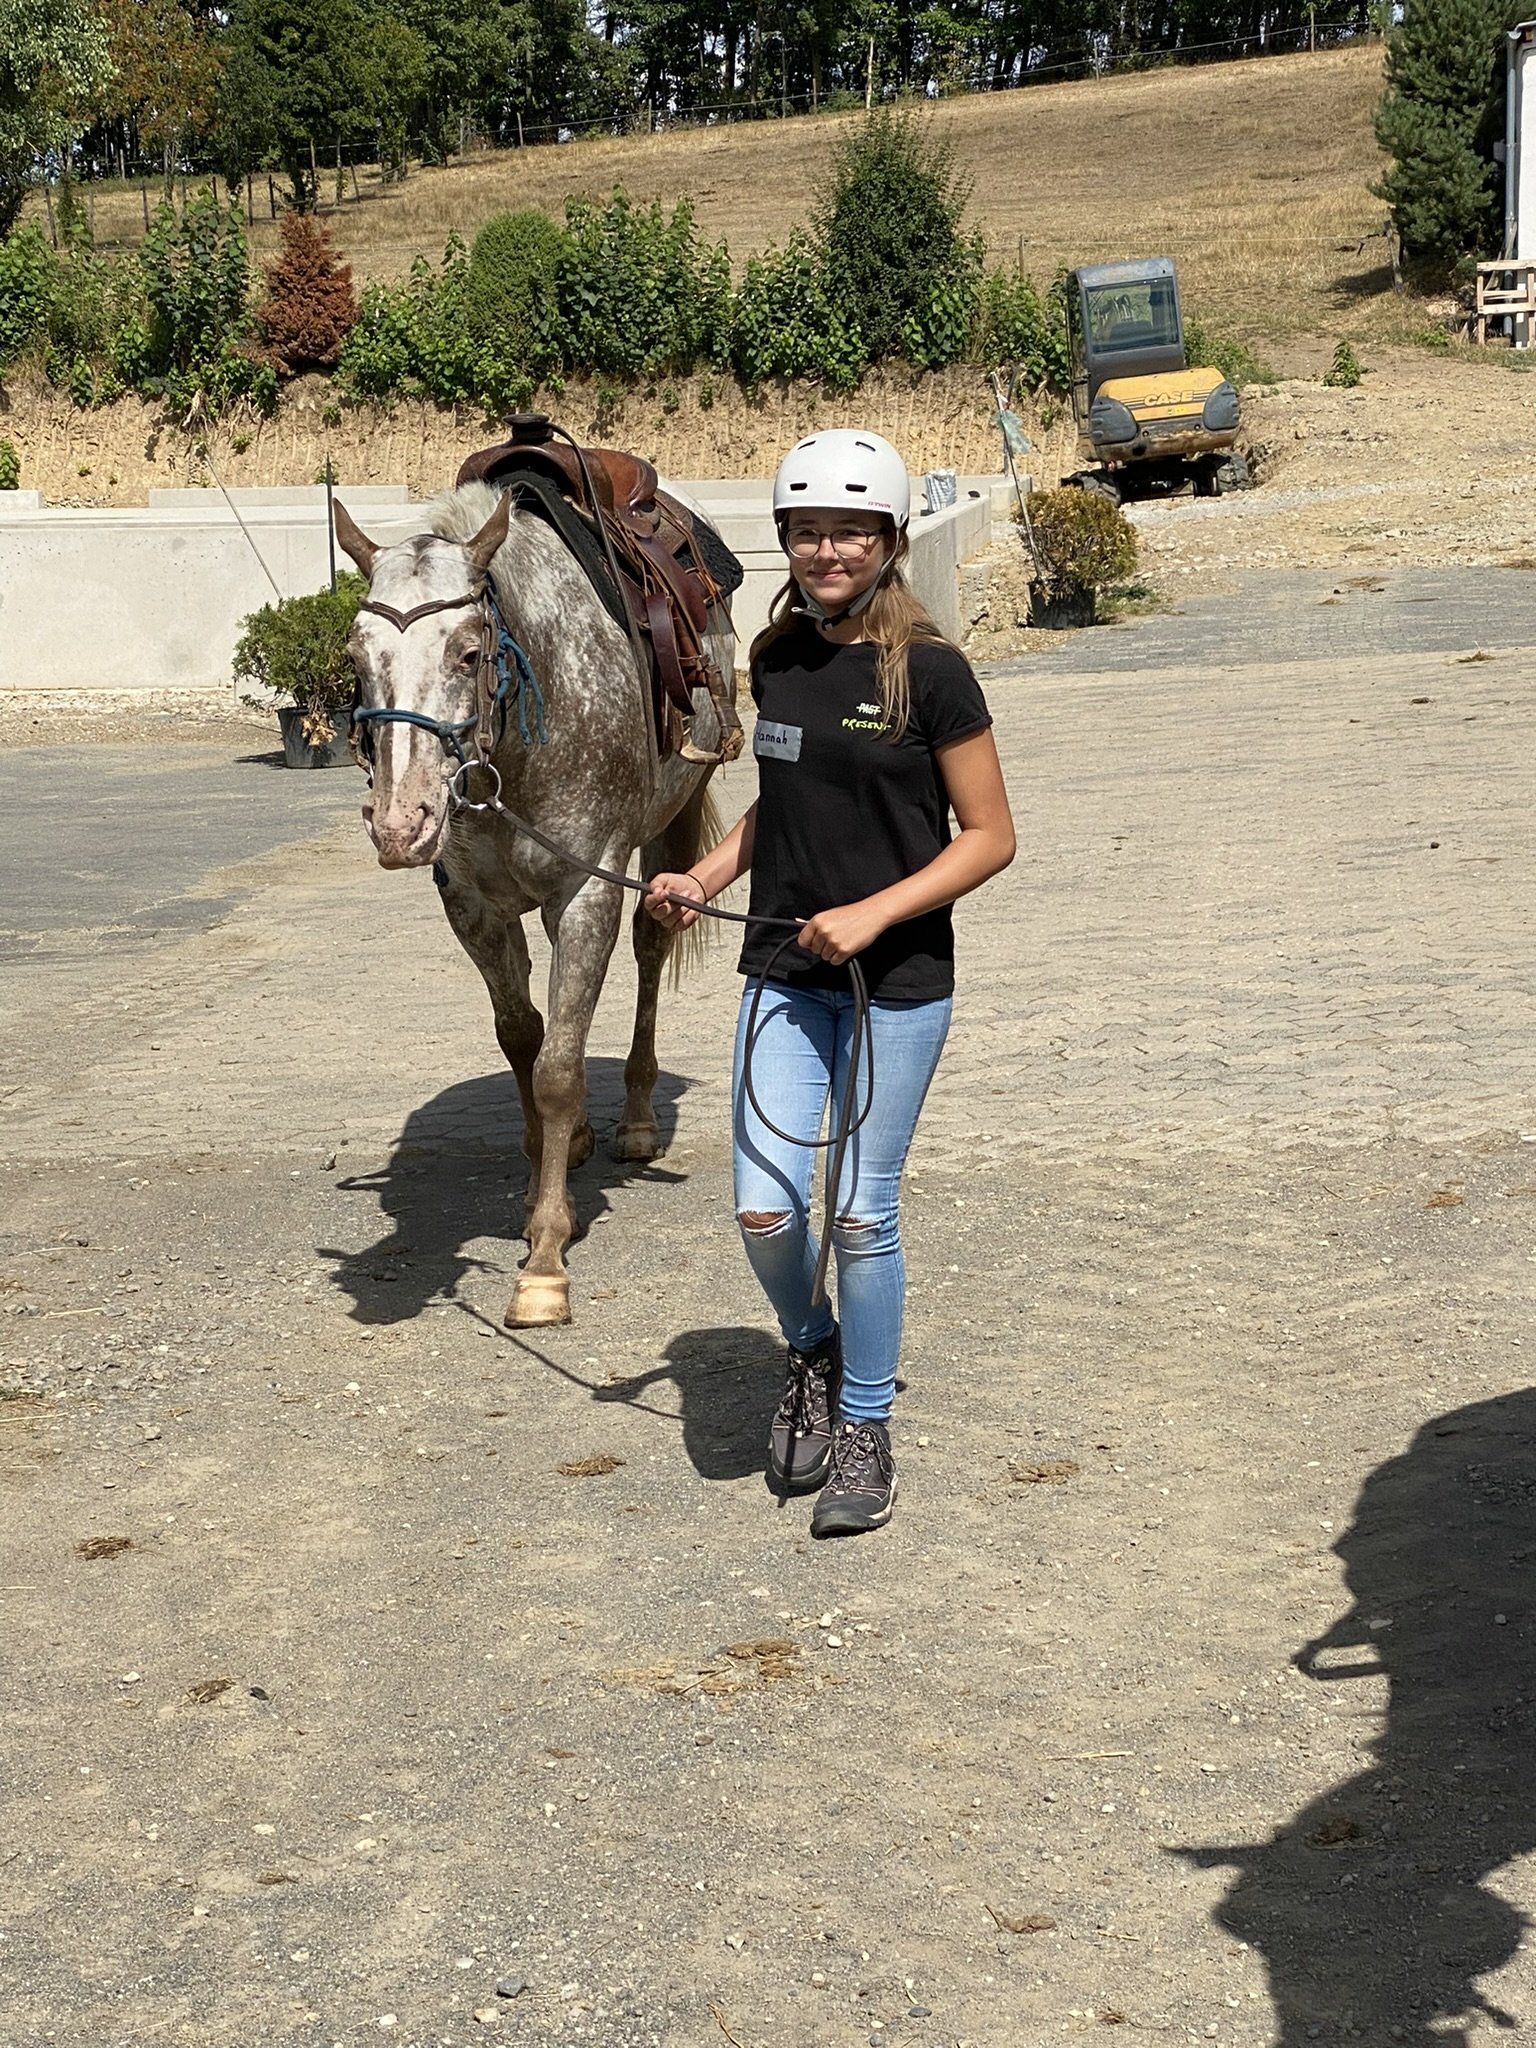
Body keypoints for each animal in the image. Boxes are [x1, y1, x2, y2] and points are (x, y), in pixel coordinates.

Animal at [333, 480, 735, 1328]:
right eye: (357, 657)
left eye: (468, 651)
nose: (400, 823)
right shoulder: (472, 904)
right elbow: (523, 1037)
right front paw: (535, 1188)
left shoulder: (587, 892)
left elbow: (556, 1069)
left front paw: (546, 1256)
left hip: (676, 818)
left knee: (652, 943)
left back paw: (637, 1118)